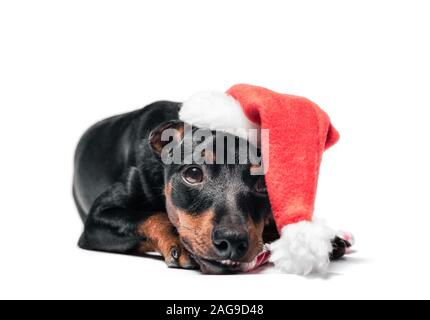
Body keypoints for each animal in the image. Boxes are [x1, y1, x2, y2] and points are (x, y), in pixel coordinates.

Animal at [73, 101, 350, 274]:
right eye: (193, 174)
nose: (232, 241)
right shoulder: (97, 219)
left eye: (263, 183)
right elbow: (155, 216)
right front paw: (178, 241)